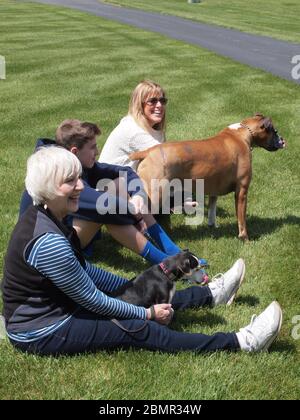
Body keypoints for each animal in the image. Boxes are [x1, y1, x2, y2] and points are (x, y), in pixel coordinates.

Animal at [131, 114, 286, 240]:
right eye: (275, 131)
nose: (282, 140)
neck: (243, 134)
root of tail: (147, 152)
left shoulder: (213, 189)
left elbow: (212, 210)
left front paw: (212, 226)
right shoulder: (241, 192)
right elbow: (241, 218)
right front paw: (244, 237)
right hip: (154, 197)